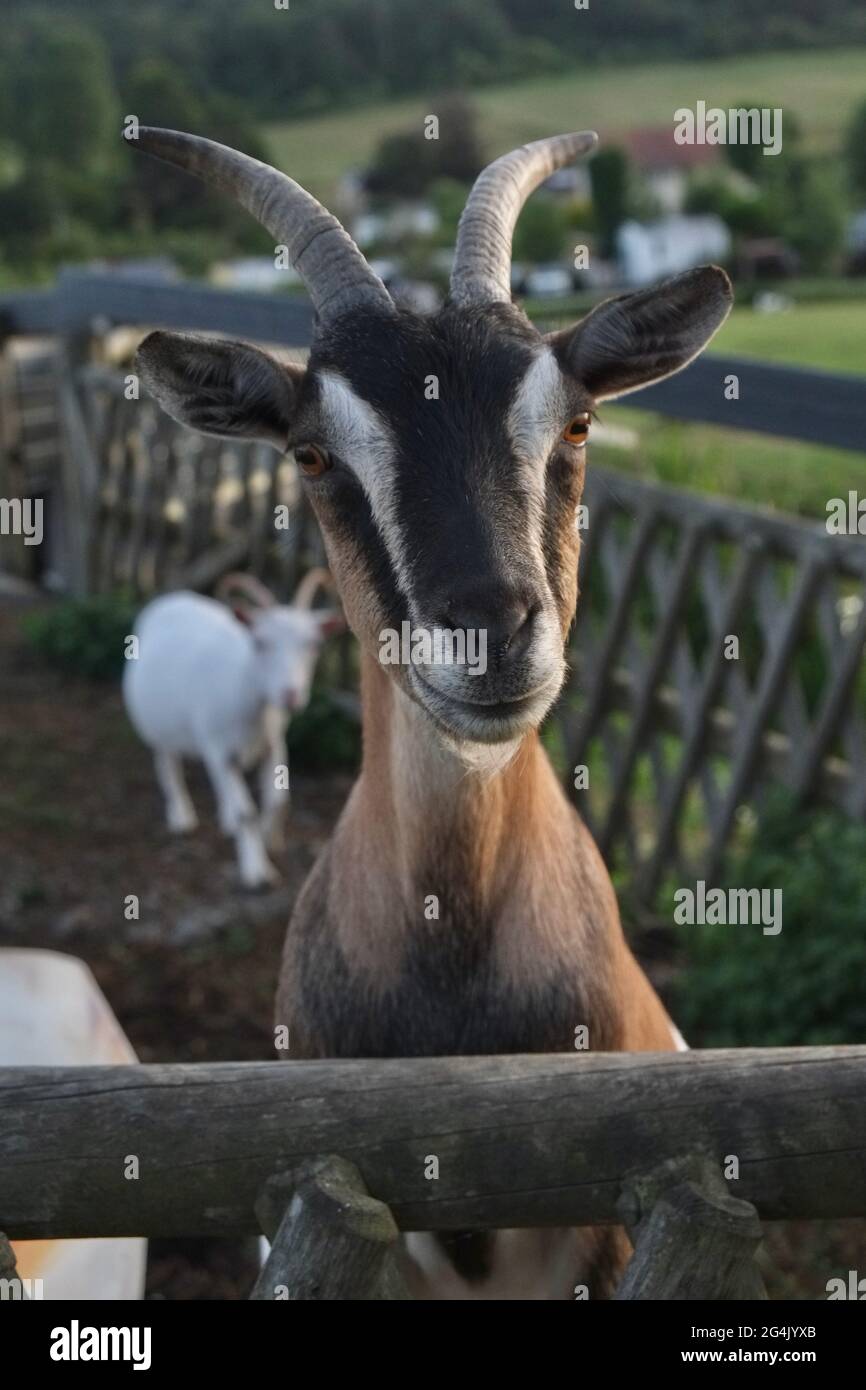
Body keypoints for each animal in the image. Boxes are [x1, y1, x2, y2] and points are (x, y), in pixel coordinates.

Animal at [125, 569, 341, 884]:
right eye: (260, 643)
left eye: (313, 645)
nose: (290, 695)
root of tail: (172, 598)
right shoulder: (218, 749)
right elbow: (245, 813)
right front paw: (256, 870)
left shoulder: (273, 744)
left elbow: (277, 800)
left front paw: (269, 838)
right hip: (157, 725)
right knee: (167, 763)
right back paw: (181, 815)